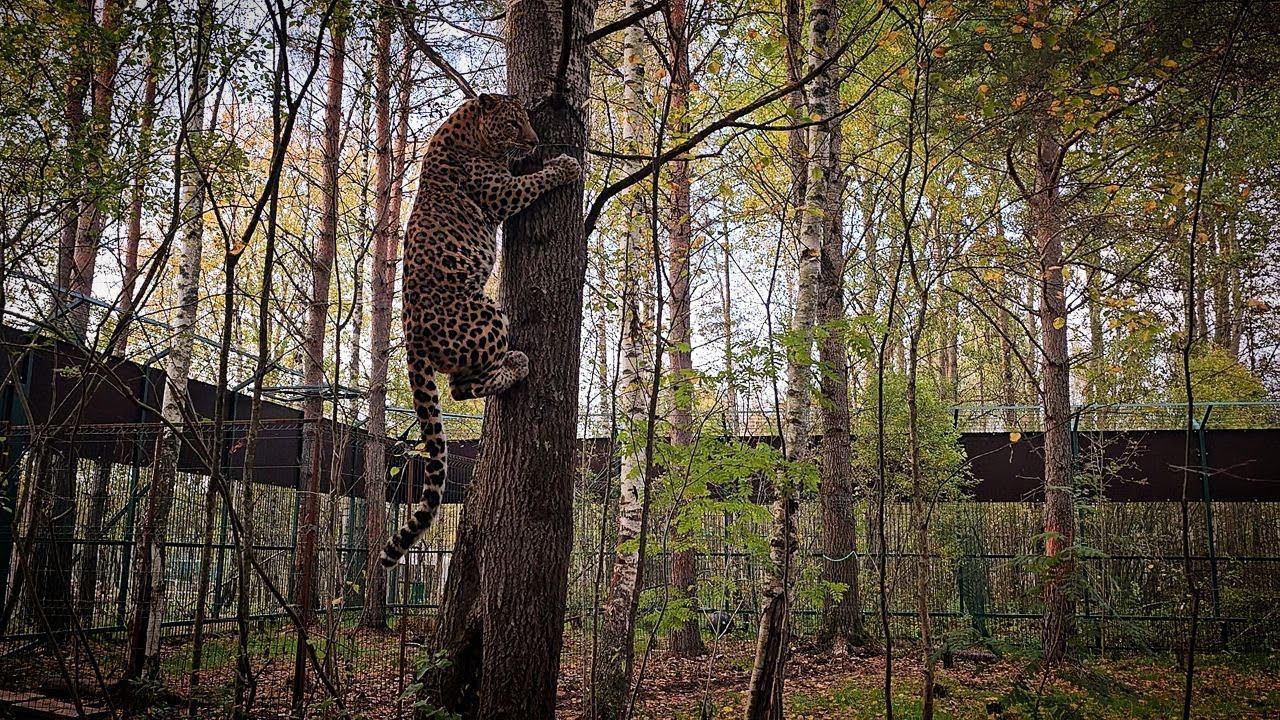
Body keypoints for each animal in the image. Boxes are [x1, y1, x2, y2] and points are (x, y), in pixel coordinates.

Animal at [376, 94, 583, 566]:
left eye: (526, 120)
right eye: (512, 124)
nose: (534, 140)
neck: (463, 126)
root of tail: (412, 339)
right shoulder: (501, 191)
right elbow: (536, 179)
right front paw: (566, 165)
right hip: (486, 312)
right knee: (460, 387)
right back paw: (517, 364)